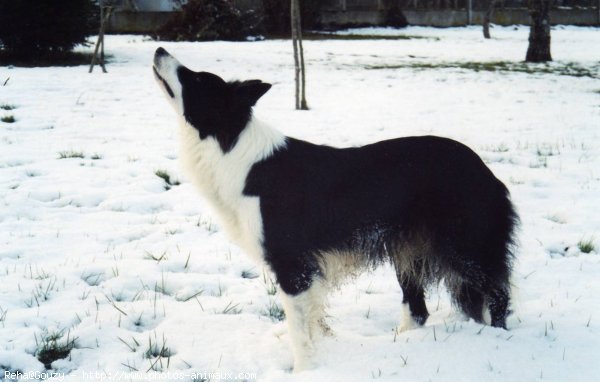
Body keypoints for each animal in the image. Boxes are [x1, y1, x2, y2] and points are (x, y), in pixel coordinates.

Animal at [152, 47, 516, 370]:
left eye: (197, 80)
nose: (158, 50)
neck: (230, 145)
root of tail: (485, 170)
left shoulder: (292, 264)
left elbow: (300, 329)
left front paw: (304, 370)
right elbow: (311, 320)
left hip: (466, 247)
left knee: (497, 294)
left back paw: (497, 338)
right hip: (408, 250)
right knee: (419, 309)